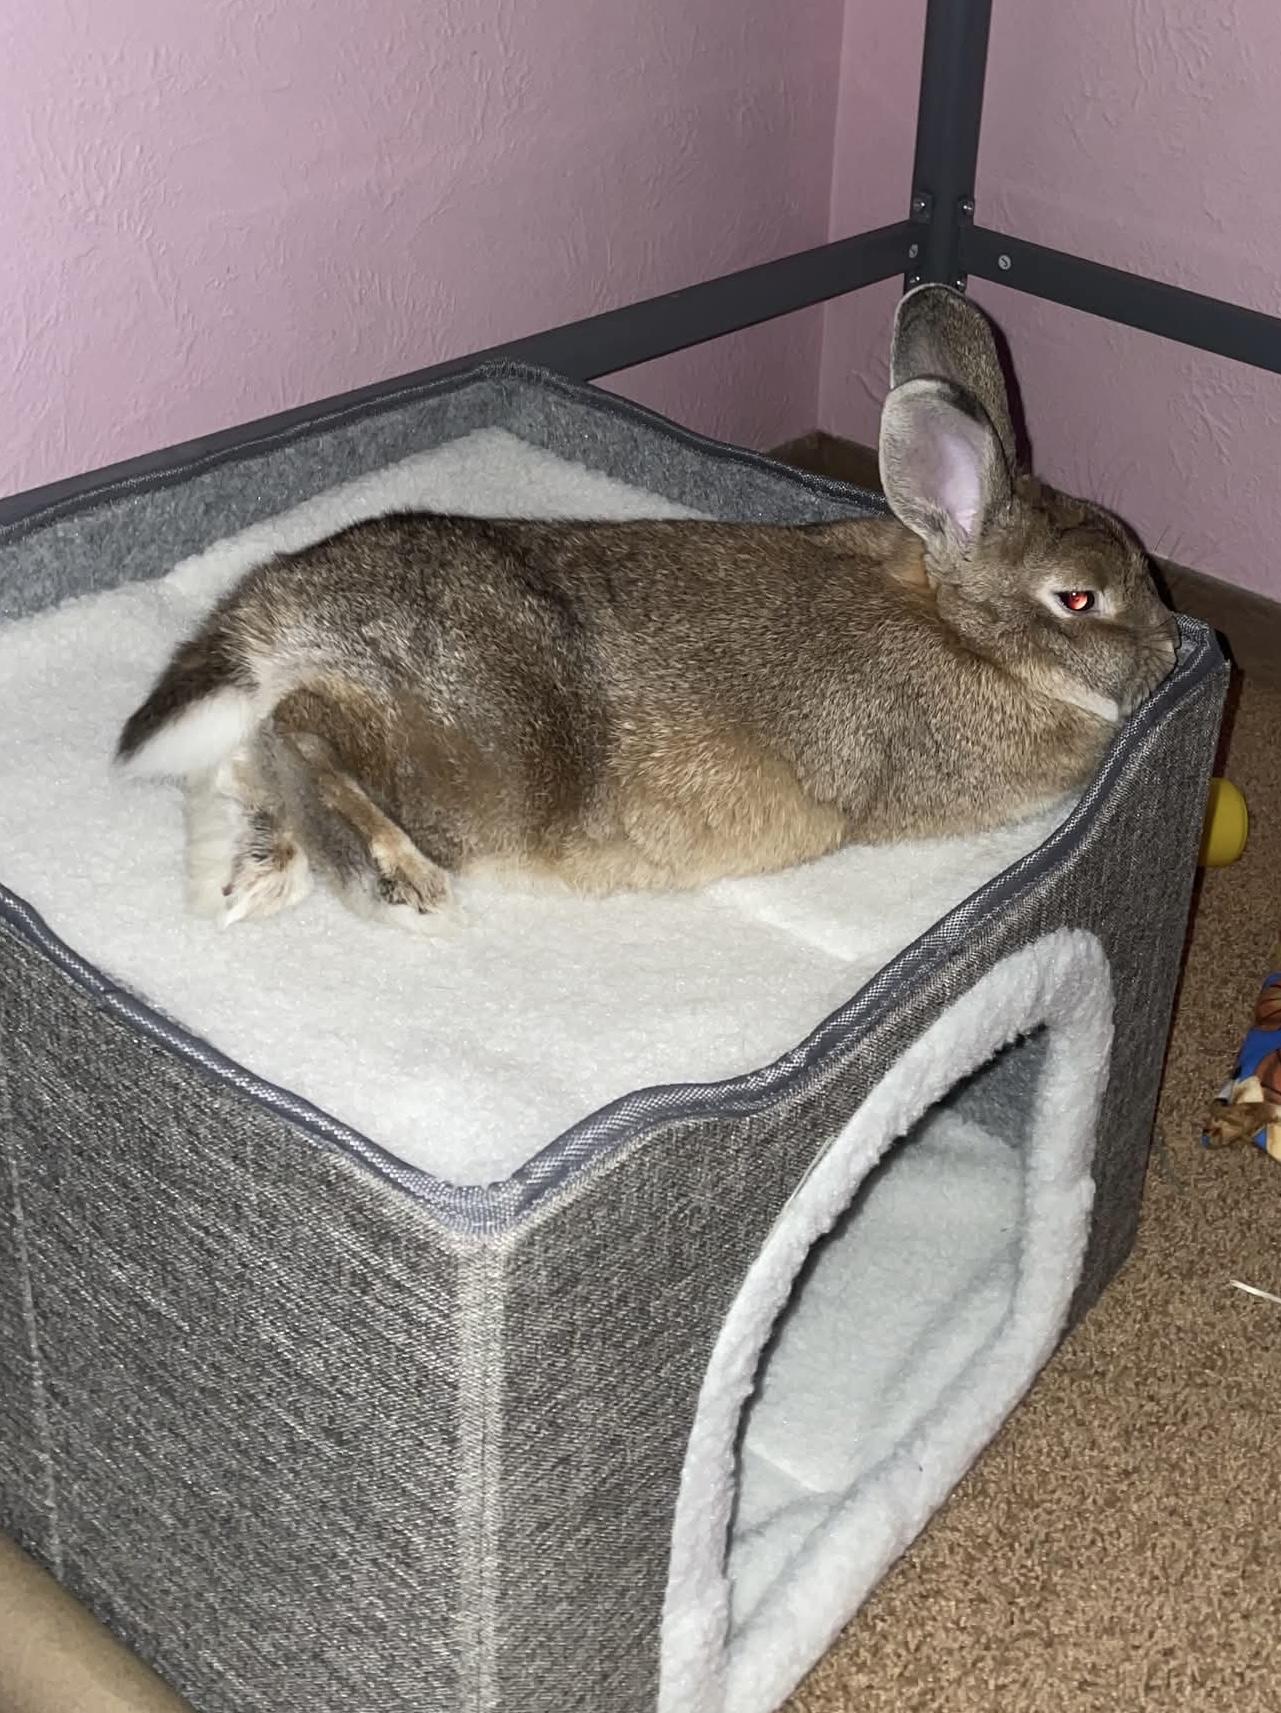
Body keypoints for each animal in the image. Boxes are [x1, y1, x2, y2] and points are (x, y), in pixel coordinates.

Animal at [115, 283, 1179, 936]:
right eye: (1077, 597)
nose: (1173, 647)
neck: (965, 628)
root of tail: (275, 614)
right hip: (474, 755)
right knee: (298, 731)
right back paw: (394, 882)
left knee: (247, 765)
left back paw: (245, 881)